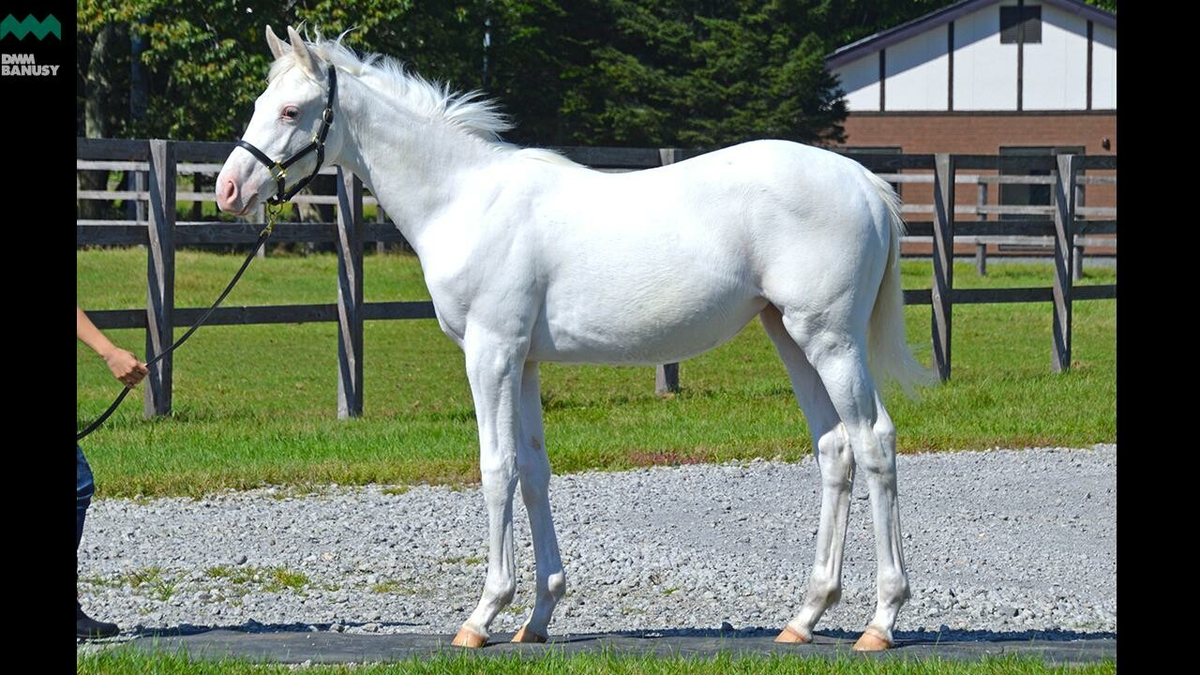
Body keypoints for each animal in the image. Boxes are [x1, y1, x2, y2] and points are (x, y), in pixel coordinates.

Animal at [216, 26, 933, 651]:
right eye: (257, 104)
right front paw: (537, 616)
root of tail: (864, 182)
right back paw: (805, 618)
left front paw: (483, 616)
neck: (465, 200)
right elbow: (535, 471)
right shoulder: (524, 361)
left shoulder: (491, 354)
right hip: (787, 333)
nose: (228, 188)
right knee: (834, 447)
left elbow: (497, 469)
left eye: (291, 109)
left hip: (831, 340)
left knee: (874, 441)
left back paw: (881, 621)